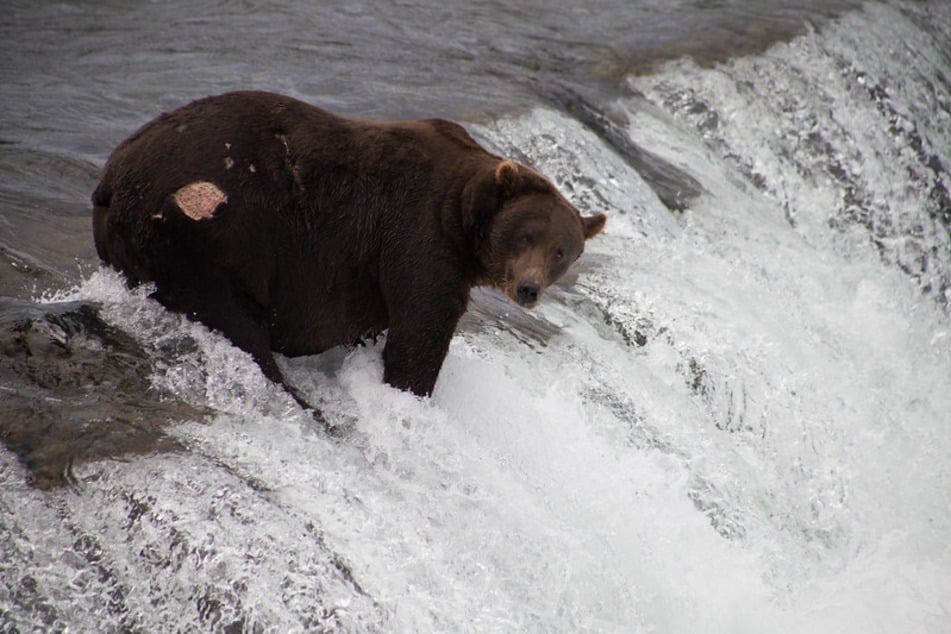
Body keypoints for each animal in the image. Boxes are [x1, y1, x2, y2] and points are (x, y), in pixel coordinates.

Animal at [92, 91, 605, 410]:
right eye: (526, 236)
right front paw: (409, 392)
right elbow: (422, 329)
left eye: (561, 252)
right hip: (209, 236)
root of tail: (112, 179)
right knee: (236, 323)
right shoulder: (417, 236)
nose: (528, 288)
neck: (462, 216)